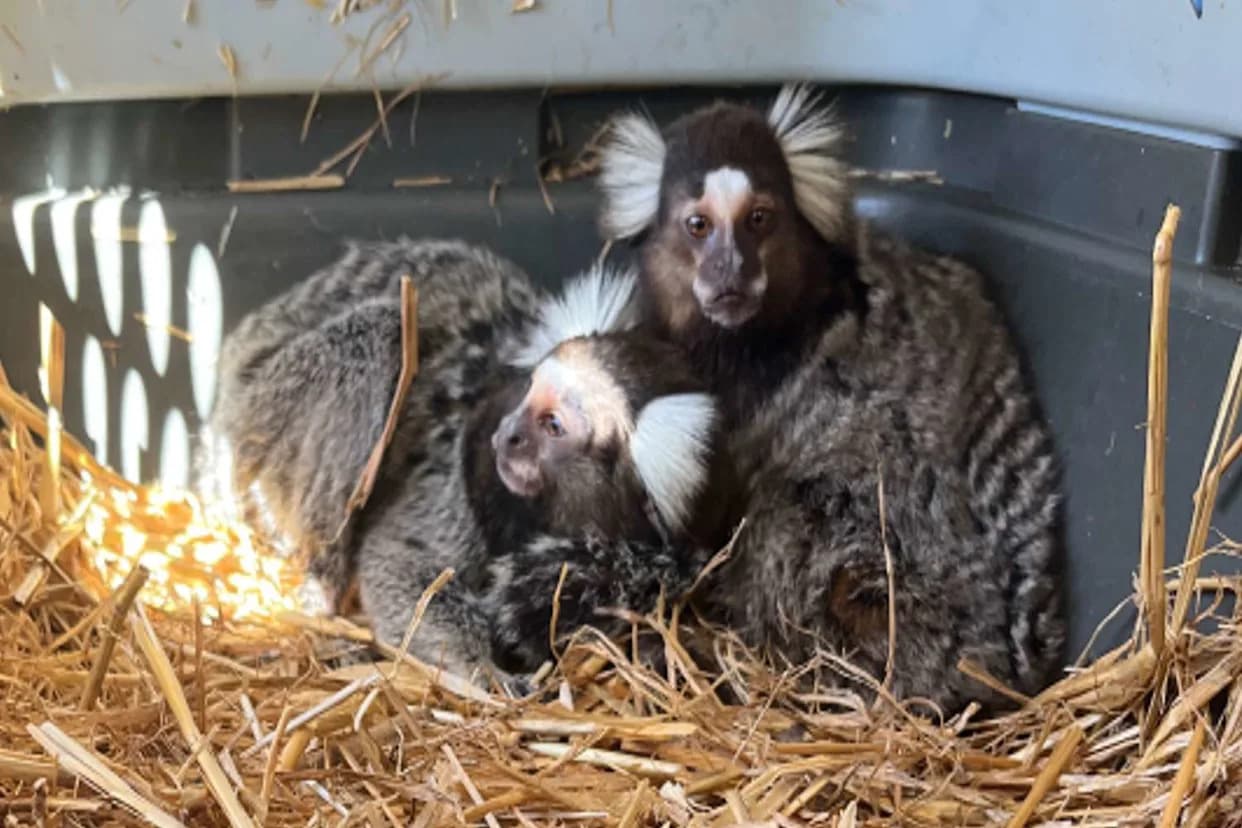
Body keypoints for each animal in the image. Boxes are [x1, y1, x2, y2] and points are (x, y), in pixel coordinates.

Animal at [200, 239, 737, 691]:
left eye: (553, 426)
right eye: (530, 395)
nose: (508, 435)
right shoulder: (457, 471)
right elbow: (399, 561)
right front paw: (486, 671)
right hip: (258, 416)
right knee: (380, 334)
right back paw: (322, 601)